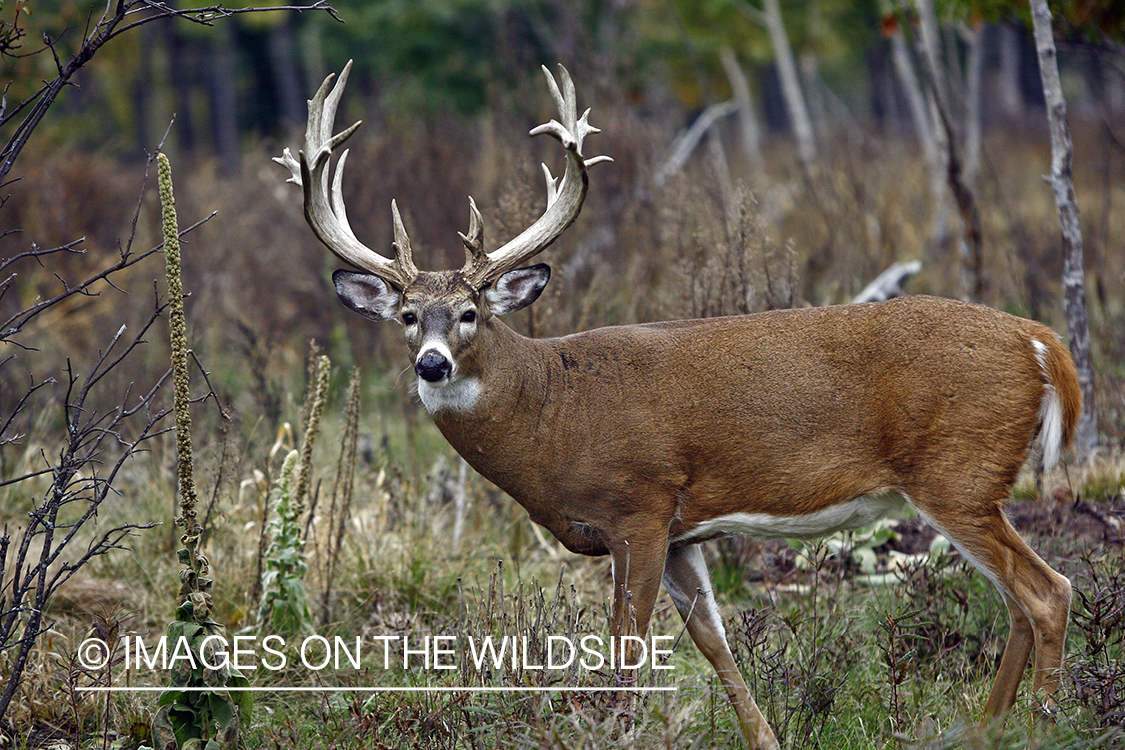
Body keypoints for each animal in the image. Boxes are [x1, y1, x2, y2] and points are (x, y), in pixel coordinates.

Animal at [272, 61, 1080, 746]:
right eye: (408, 317)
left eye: (471, 313)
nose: (433, 363)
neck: (553, 410)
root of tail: (1041, 341)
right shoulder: (686, 530)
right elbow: (716, 648)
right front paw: (765, 738)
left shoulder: (640, 504)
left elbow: (626, 654)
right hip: (970, 483)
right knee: (1017, 599)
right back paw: (987, 727)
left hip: (955, 472)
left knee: (1047, 592)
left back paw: (1041, 722)